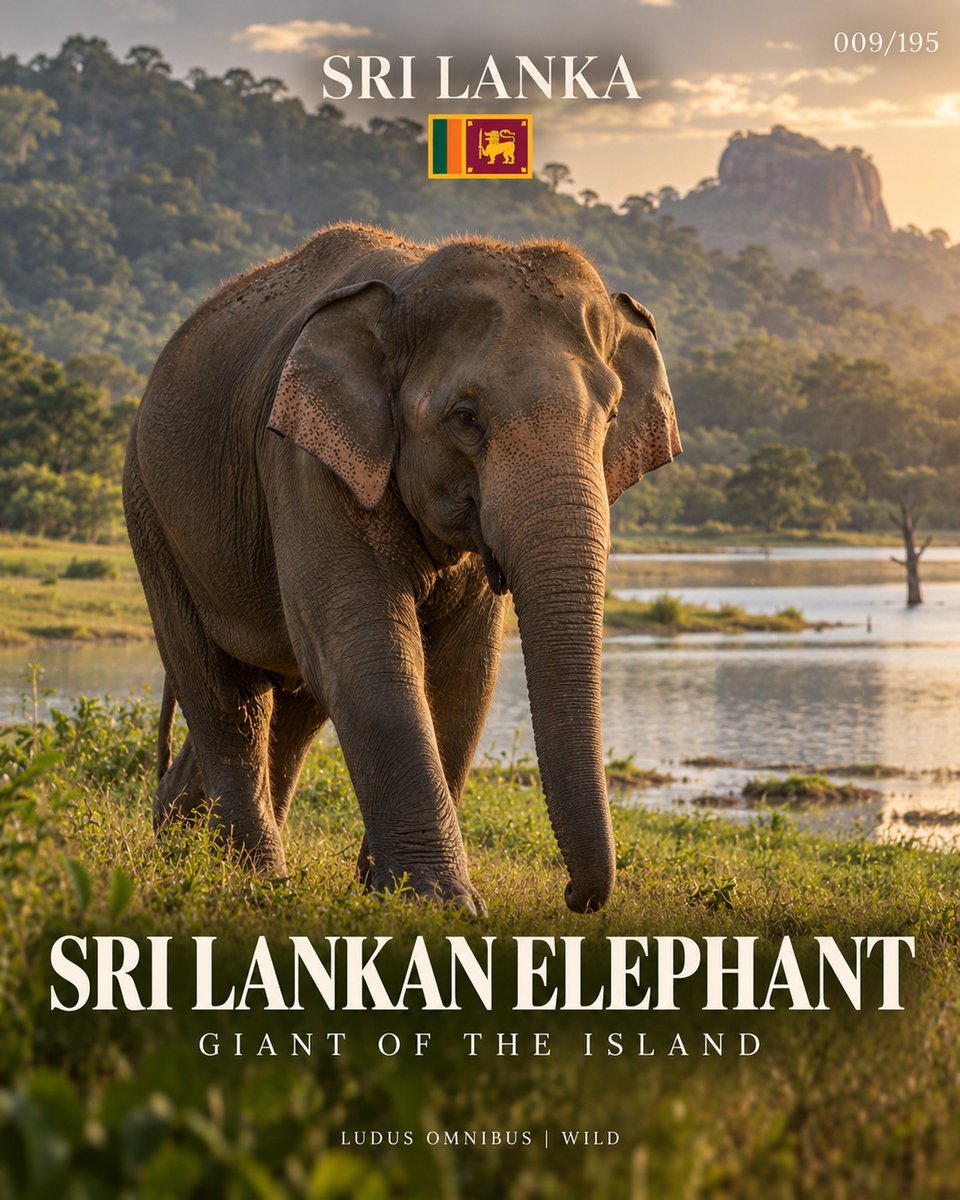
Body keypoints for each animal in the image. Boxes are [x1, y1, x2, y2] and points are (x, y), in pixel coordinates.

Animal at [122, 222, 680, 914]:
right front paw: (442, 903)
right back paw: (253, 876)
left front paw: (387, 892)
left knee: (292, 704)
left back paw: (184, 843)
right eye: (465, 417)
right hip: (149, 513)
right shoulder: (303, 459)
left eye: (609, 417)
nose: (575, 895)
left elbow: (465, 671)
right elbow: (368, 649)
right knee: (225, 692)